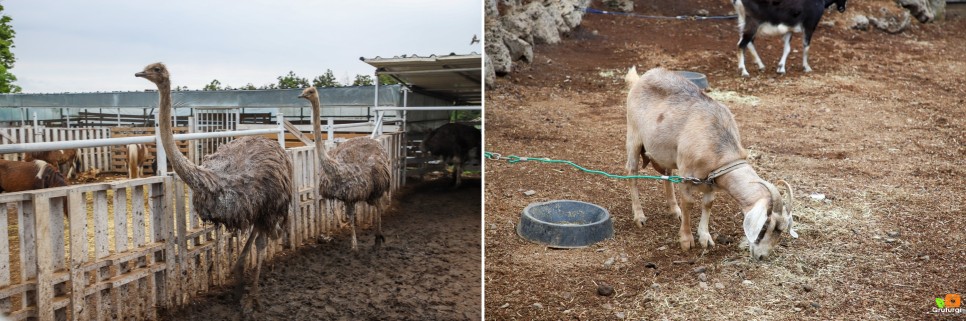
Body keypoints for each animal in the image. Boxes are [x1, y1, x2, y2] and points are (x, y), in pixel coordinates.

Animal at [624, 67, 796, 258]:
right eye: (765, 226)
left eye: (781, 230)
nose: (762, 256)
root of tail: (640, 78)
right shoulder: (686, 173)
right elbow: (689, 203)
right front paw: (686, 240)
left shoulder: (711, 178)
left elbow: (708, 203)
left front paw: (705, 237)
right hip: (633, 136)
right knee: (632, 173)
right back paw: (639, 216)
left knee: (667, 175)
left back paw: (674, 210)